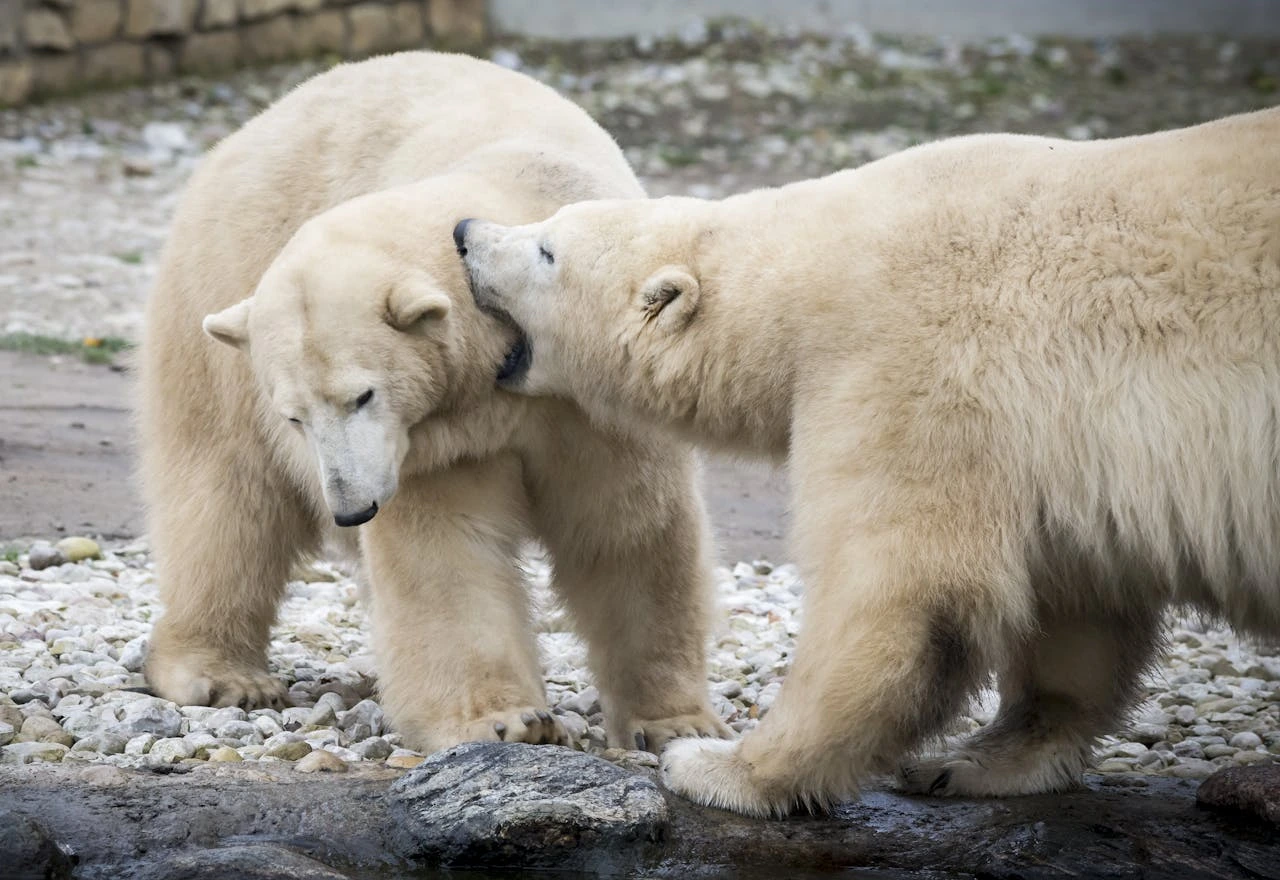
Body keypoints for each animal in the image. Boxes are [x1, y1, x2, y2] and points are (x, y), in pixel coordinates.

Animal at [137, 53, 732, 757]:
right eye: (295, 416)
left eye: (362, 395)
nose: (351, 508)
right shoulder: (437, 440)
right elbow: (448, 549)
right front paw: (506, 720)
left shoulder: (589, 394)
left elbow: (628, 528)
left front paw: (675, 722)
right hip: (213, 302)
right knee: (227, 496)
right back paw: (221, 676)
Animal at [455, 106, 1280, 813]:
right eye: (545, 226)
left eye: (546, 250)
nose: (464, 232)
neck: (807, 275)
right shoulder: (1057, 449)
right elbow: (1079, 597)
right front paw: (976, 759)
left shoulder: (907, 364)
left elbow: (897, 591)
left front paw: (722, 768)